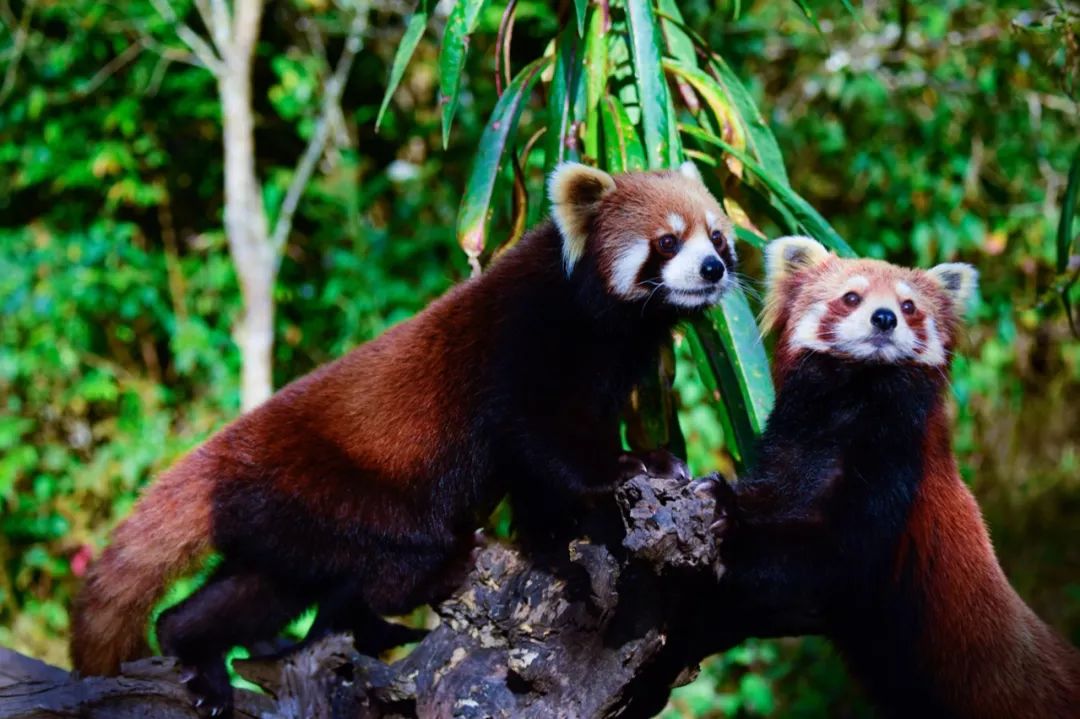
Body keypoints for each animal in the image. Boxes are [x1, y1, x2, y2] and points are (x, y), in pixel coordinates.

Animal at [71, 160, 738, 712]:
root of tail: (219, 453)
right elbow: (548, 443)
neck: (603, 319)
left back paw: (194, 652)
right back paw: (418, 591)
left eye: (717, 235)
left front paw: (561, 532)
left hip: (275, 529)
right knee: (400, 554)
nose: (713, 268)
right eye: (668, 240)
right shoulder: (524, 348)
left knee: (259, 589)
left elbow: (540, 481)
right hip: (326, 489)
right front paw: (635, 467)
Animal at [695, 236, 1075, 716]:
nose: (884, 318)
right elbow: (773, 497)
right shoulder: (792, 450)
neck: (854, 403)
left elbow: (831, 559)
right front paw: (714, 492)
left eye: (908, 305)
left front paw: (731, 528)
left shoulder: (898, 478)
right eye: (851, 297)